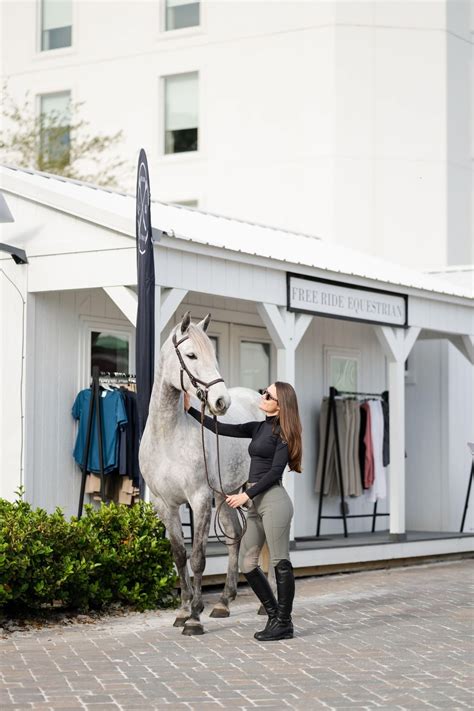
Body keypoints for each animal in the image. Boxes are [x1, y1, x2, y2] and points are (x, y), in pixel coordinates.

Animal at [139, 311, 264, 635]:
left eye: (213, 355)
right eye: (192, 355)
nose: (221, 402)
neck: (168, 435)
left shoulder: (199, 499)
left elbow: (197, 559)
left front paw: (194, 617)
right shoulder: (165, 504)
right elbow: (179, 556)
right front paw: (183, 610)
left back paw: (259, 605)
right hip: (226, 495)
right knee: (234, 537)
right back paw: (224, 602)